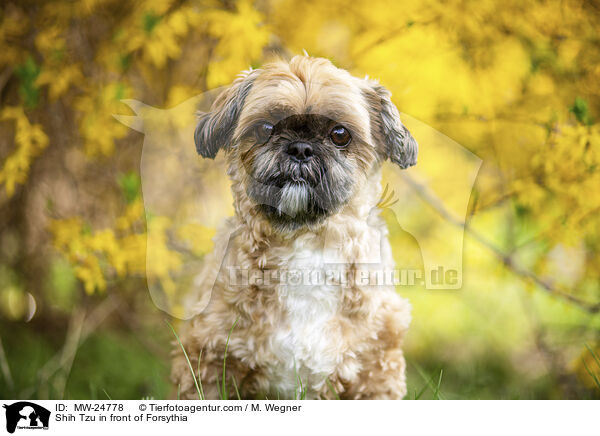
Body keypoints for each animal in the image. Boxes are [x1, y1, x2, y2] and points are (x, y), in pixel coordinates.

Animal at [171, 56, 418, 400]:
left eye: (340, 134)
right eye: (265, 128)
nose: (300, 148)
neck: (305, 246)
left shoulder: (376, 369)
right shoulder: (207, 357)